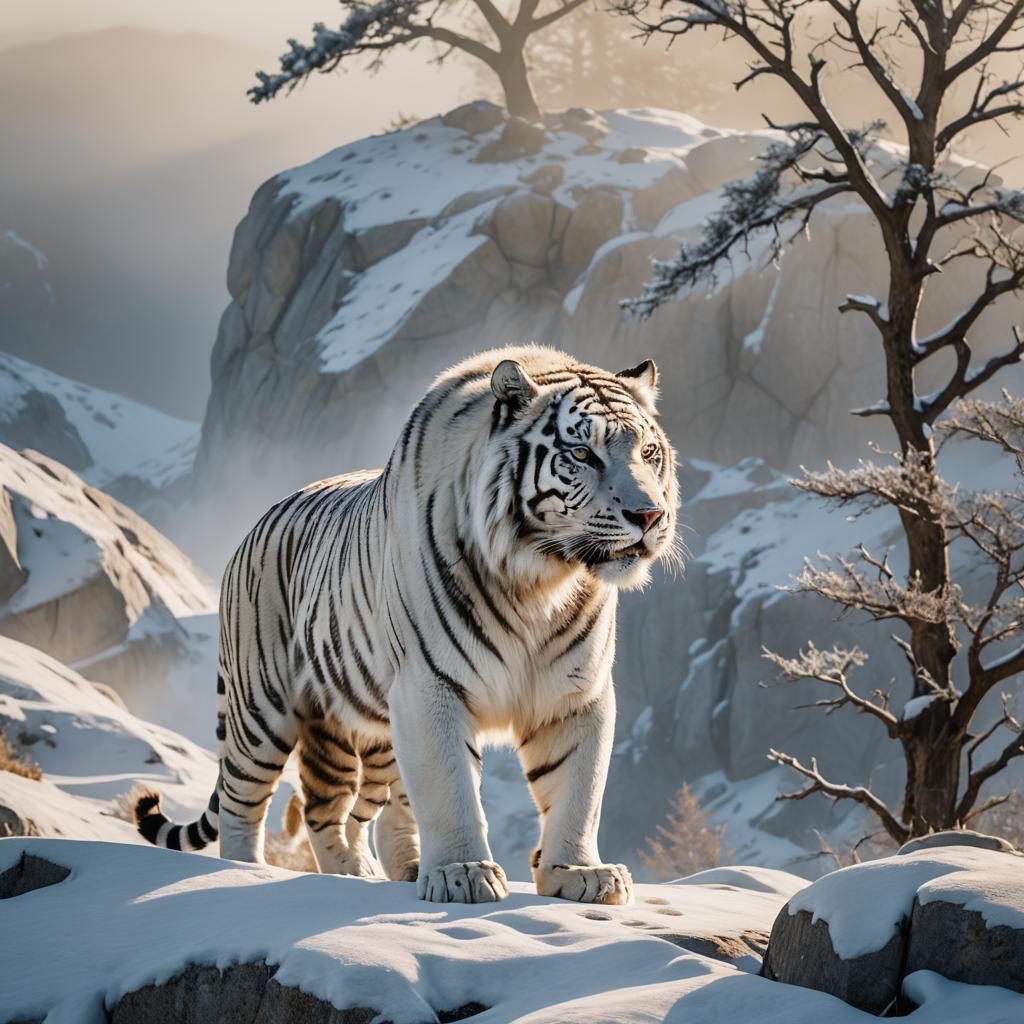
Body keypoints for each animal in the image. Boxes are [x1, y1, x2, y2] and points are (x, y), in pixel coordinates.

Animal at [134, 345, 680, 905]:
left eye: (649, 452)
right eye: (582, 455)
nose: (649, 515)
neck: (540, 580)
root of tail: (261, 520)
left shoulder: (576, 693)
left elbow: (578, 788)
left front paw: (579, 874)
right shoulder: (431, 682)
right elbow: (450, 787)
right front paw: (464, 873)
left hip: (352, 728)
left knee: (333, 810)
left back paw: (365, 873)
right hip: (260, 709)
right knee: (243, 804)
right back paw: (247, 873)